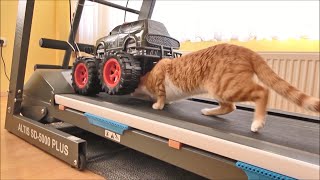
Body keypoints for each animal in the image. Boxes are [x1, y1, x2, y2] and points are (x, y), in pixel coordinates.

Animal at [131, 43, 320, 132]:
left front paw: (158, 104)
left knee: (262, 91)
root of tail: (246, 49)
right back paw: (208, 112)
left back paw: (257, 123)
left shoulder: (159, 79)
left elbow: (161, 95)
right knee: (229, 107)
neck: (147, 76)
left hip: (225, 87)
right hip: (221, 90)